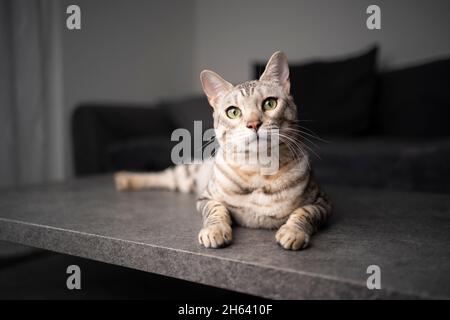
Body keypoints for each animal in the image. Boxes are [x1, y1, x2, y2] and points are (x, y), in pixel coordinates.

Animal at [116, 50, 332, 250]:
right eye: (233, 112)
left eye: (270, 103)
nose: (254, 124)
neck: (258, 168)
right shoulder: (206, 198)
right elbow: (217, 210)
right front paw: (215, 231)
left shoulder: (322, 203)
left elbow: (303, 213)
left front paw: (292, 232)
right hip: (189, 174)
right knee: (163, 176)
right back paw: (125, 178)